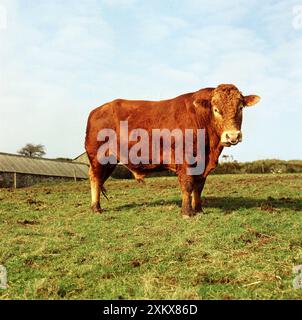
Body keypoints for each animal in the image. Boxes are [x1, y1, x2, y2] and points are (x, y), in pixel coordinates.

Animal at [84, 84, 260, 218]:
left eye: (241, 108)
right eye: (216, 109)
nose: (233, 136)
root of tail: (96, 110)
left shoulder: (202, 165)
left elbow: (199, 187)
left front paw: (199, 210)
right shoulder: (186, 160)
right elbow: (188, 185)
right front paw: (187, 212)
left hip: (110, 160)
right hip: (98, 157)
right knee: (95, 178)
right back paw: (96, 208)